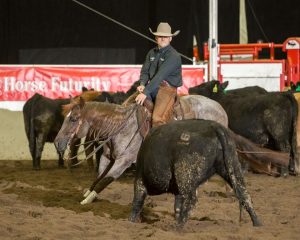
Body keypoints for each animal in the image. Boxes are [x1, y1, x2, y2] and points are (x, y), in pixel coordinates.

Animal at [54, 94, 288, 204]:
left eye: (73, 119)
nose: (57, 143)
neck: (121, 125)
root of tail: (220, 108)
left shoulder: (123, 161)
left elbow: (105, 180)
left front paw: (87, 199)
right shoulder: (107, 157)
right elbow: (98, 177)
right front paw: (88, 193)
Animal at [130, 119, 262, 227]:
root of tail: (214, 126)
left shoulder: (140, 180)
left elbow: (137, 202)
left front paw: (131, 222)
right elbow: (177, 205)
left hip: (185, 174)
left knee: (191, 199)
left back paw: (178, 227)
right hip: (232, 166)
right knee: (244, 193)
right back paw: (257, 223)